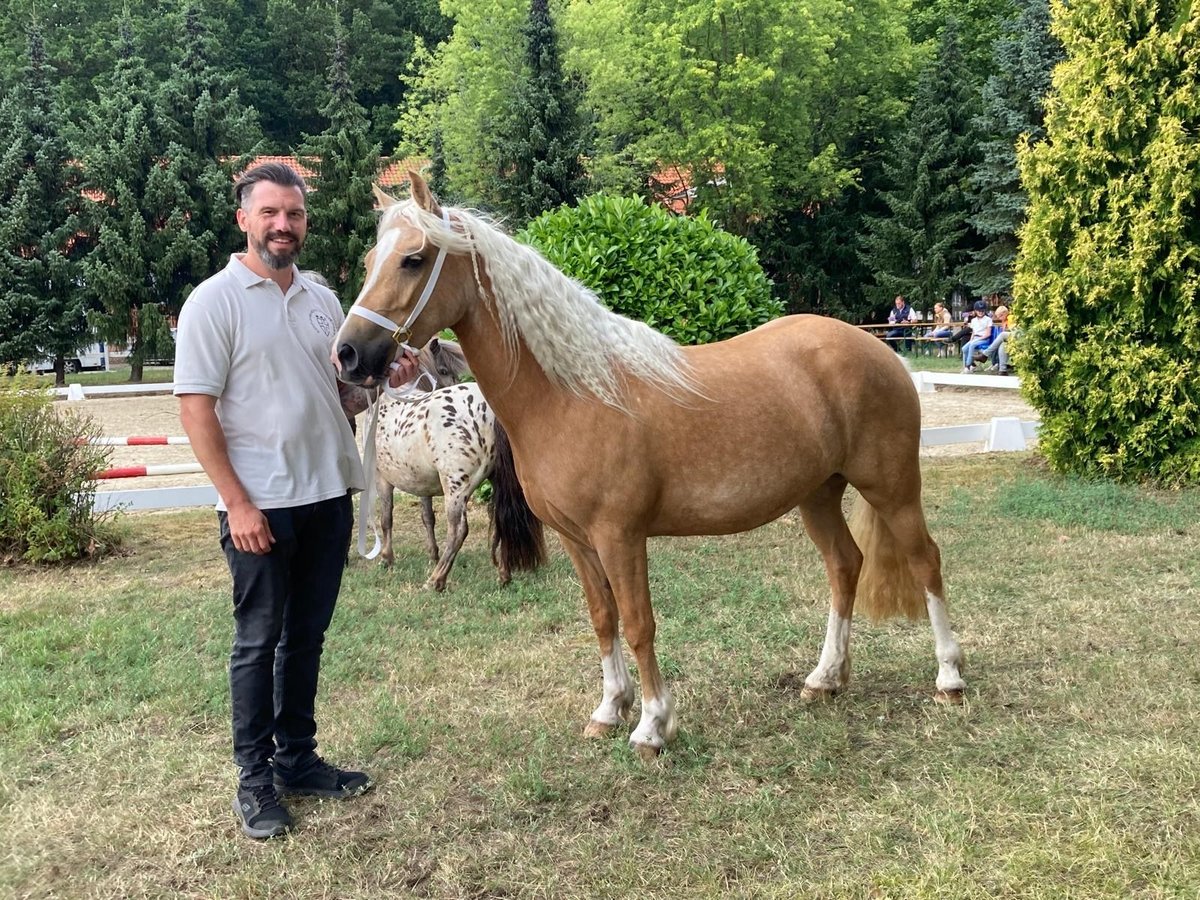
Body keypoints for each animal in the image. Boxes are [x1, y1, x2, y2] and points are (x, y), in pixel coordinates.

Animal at [333, 173, 966, 758]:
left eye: (414, 259)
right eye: (369, 261)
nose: (348, 354)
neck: (574, 395)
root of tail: (876, 347)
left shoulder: (620, 535)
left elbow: (638, 623)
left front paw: (653, 725)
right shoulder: (577, 539)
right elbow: (602, 617)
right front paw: (609, 709)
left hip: (891, 486)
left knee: (925, 561)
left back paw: (949, 677)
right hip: (818, 493)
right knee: (844, 566)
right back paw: (825, 678)